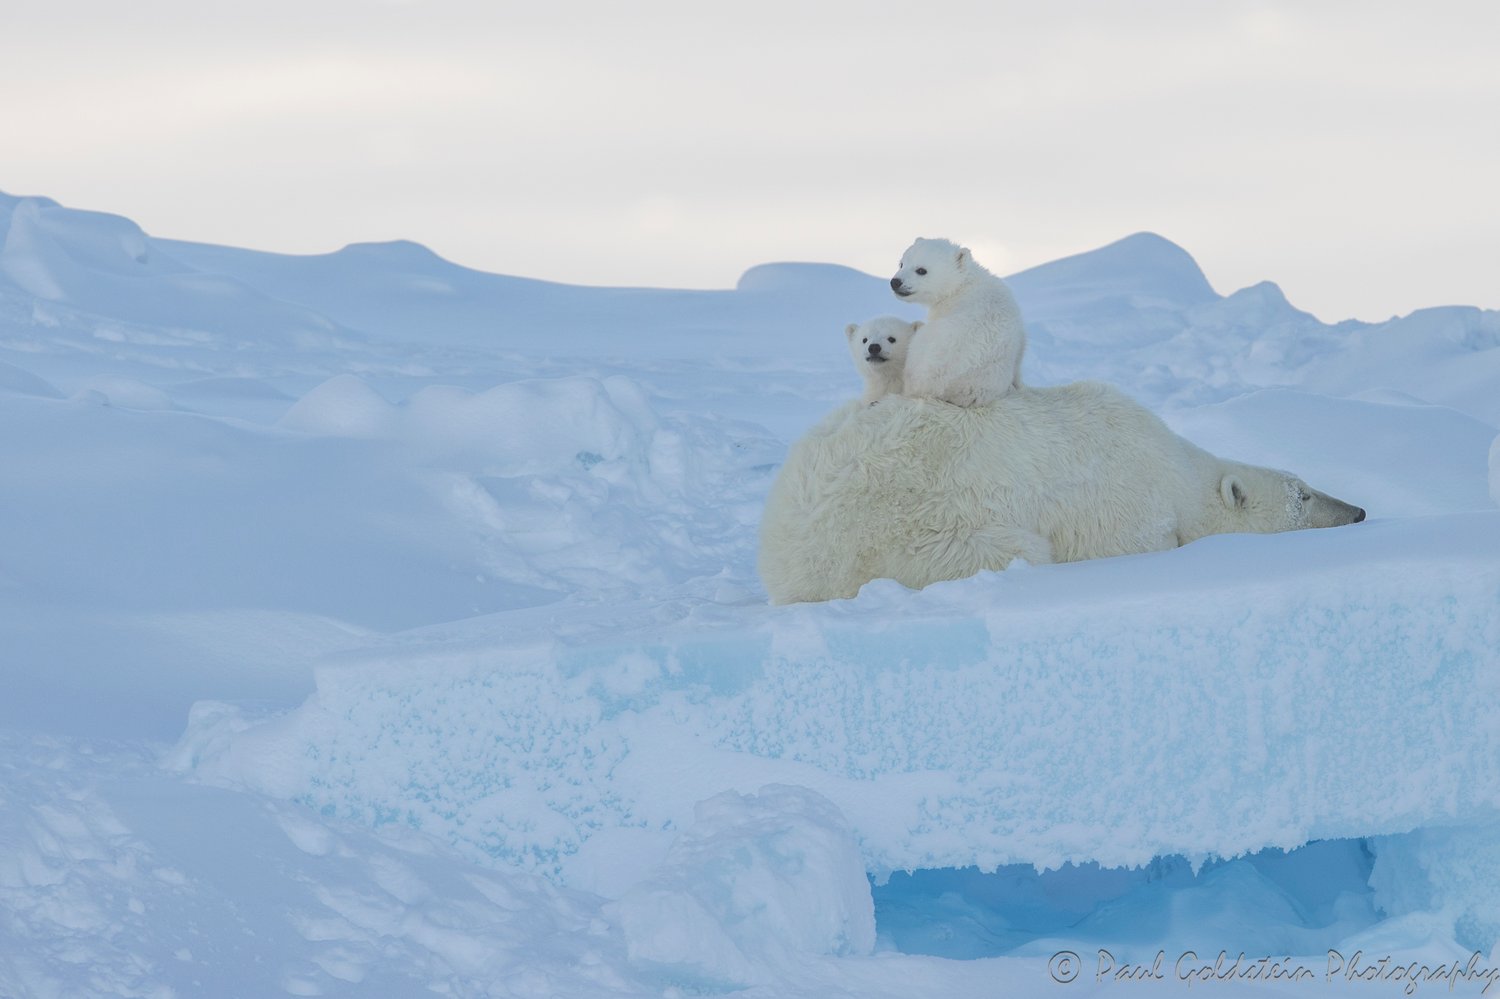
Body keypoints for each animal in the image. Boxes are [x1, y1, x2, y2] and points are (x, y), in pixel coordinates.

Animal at [756, 382, 1368, 603]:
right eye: (1303, 495)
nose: (1359, 511)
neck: (1176, 473)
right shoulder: (1125, 506)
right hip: (905, 534)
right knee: (1016, 549)